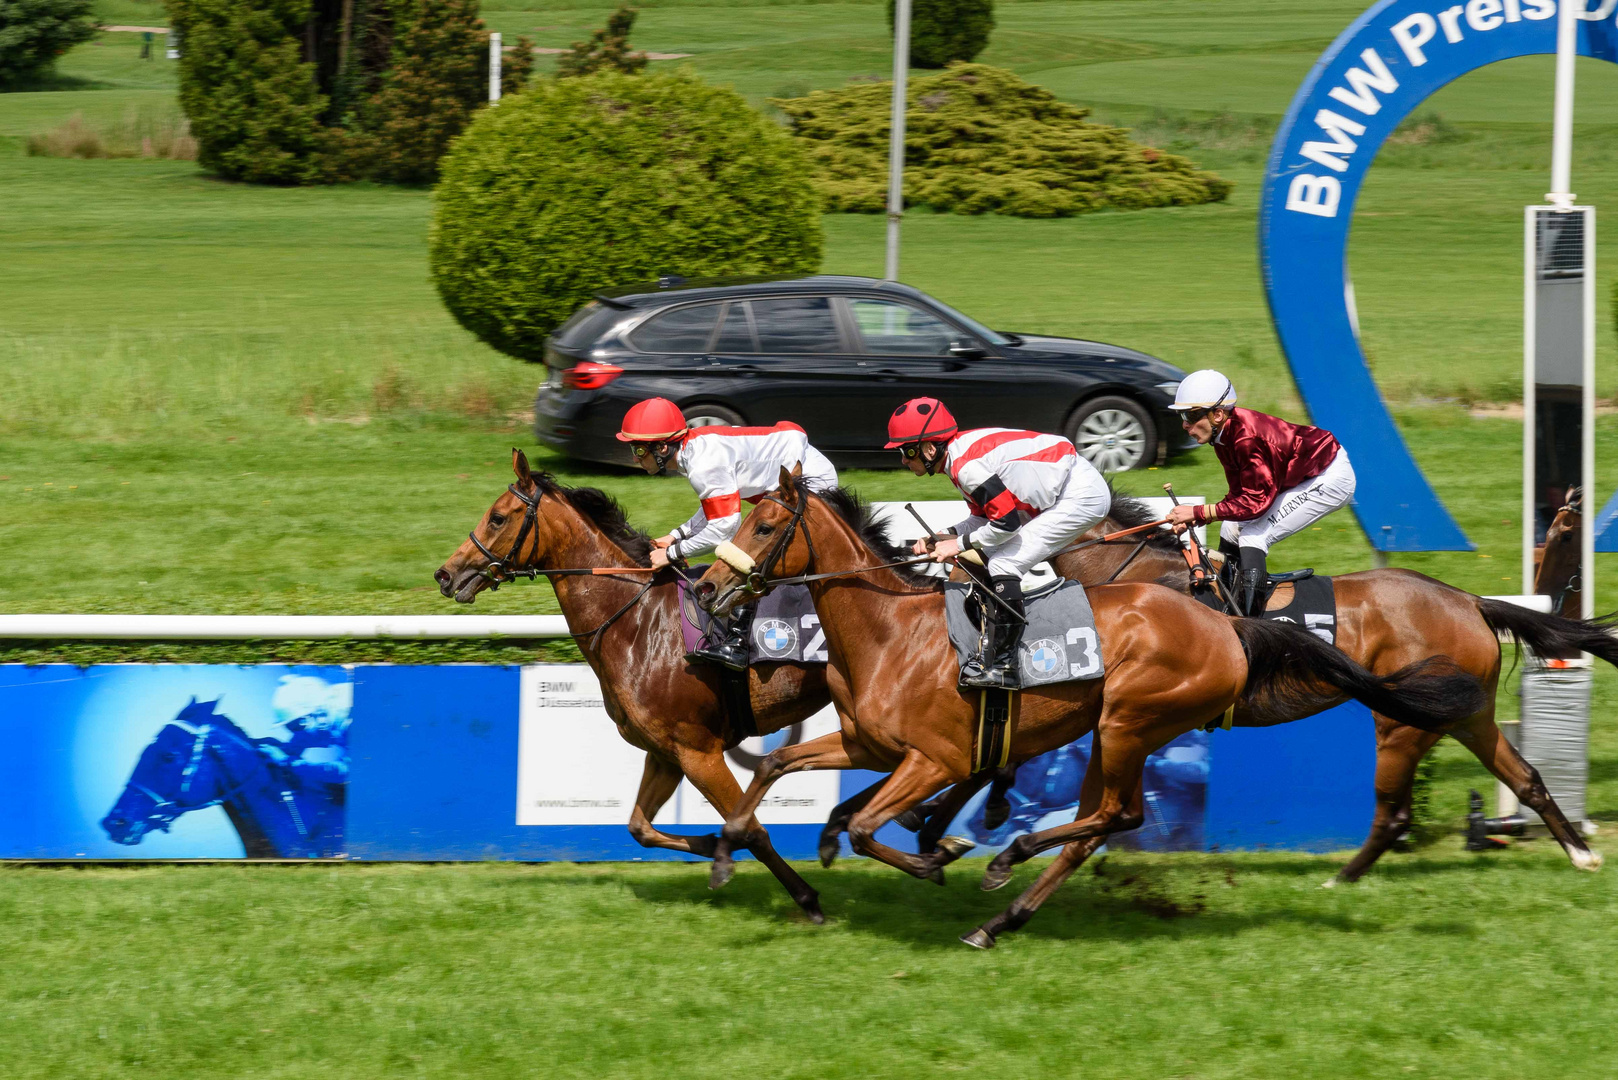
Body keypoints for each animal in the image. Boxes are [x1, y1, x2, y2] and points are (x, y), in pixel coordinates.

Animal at [430, 446, 828, 919]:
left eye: (497, 517)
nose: (445, 575)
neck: (637, 618)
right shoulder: (666, 752)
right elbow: (639, 827)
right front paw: (711, 842)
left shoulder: (700, 751)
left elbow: (750, 828)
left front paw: (806, 897)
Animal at [689, 472, 1482, 945]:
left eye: (765, 527)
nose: (706, 589)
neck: (888, 630)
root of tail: (1229, 628)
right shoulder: (867, 746)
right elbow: (776, 772)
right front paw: (729, 853)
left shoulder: (933, 759)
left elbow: (868, 826)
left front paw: (936, 854)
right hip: (1112, 730)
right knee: (1095, 823)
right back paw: (1000, 917)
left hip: (1130, 720)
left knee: (1117, 815)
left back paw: (1004, 864)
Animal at [1054, 495, 1611, 880]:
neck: (1149, 583)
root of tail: (1470, 601)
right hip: (1467, 716)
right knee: (1526, 779)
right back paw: (1582, 854)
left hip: (1403, 723)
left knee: (1394, 813)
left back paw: (1341, 878)